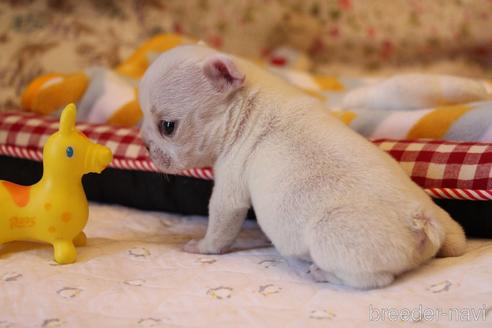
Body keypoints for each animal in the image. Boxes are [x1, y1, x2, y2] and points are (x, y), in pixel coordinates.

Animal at [138, 44, 466, 288]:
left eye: (167, 127)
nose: (145, 145)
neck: (247, 101)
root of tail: (419, 221)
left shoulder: (229, 182)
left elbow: (220, 225)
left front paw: (201, 246)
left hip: (332, 239)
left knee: (374, 280)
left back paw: (322, 273)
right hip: (439, 216)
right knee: (455, 240)